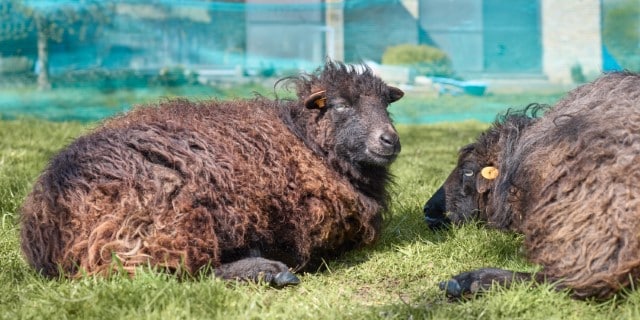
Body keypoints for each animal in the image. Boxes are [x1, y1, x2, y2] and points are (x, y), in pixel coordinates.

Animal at [21, 60, 404, 284]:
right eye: (340, 105)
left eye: (386, 104)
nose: (390, 140)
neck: (306, 140)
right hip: (168, 216)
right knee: (173, 271)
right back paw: (270, 272)